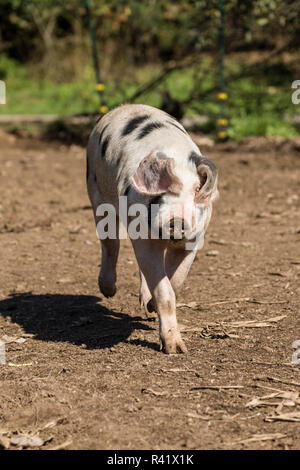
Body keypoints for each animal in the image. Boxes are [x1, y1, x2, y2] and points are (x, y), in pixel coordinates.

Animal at [86, 103, 218, 352]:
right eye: (160, 193)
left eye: (196, 190)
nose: (177, 221)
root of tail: (126, 107)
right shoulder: (143, 238)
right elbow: (165, 291)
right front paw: (175, 350)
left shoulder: (193, 240)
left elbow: (176, 282)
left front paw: (150, 308)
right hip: (95, 191)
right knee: (110, 244)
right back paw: (108, 291)